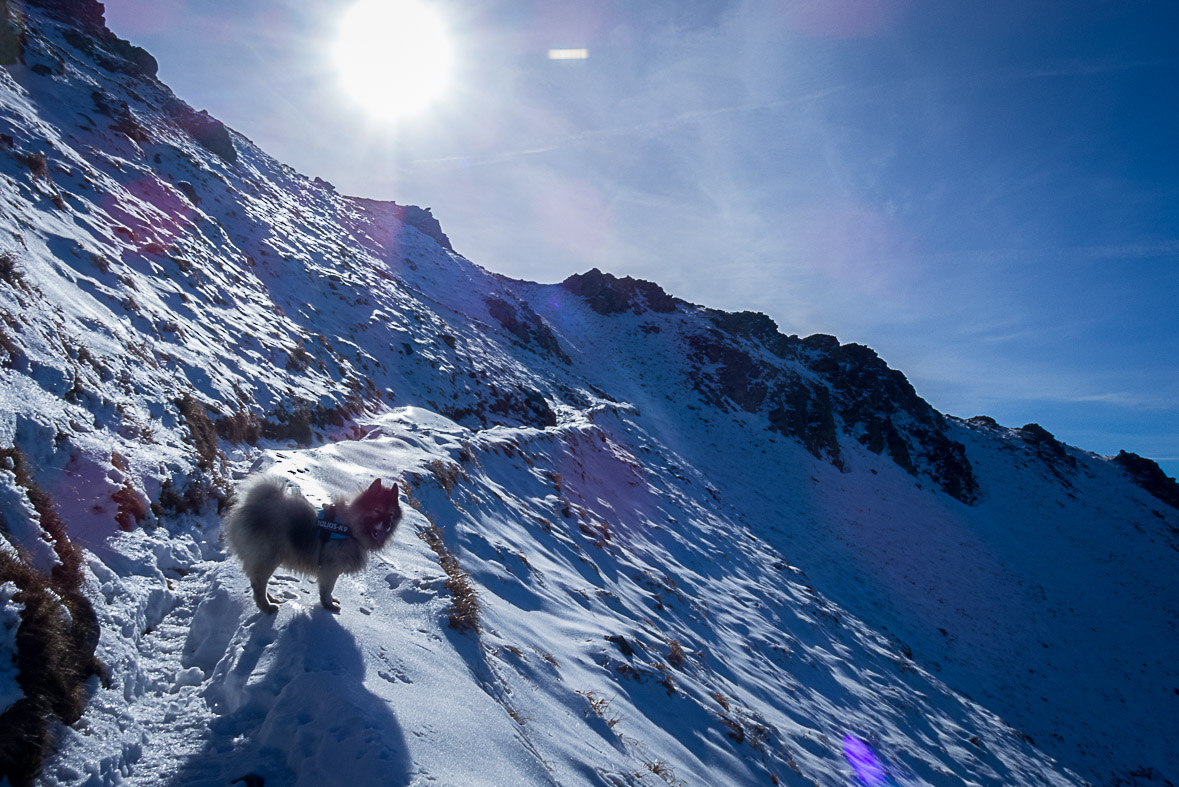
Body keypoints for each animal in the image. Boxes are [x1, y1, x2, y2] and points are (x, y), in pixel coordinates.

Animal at [222, 473, 403, 612]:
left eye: (391, 515)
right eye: (377, 510)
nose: (387, 524)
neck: (350, 528)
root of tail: (252, 506)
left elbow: (329, 589)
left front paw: (330, 601)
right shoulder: (331, 568)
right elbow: (327, 588)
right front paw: (328, 605)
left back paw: (272, 599)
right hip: (268, 559)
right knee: (258, 584)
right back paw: (267, 607)